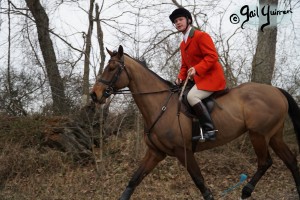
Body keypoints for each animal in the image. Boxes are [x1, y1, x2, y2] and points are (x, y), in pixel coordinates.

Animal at [89, 45, 300, 200]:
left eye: (112, 68)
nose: (94, 94)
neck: (161, 105)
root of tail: (277, 90)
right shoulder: (155, 152)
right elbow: (133, 181)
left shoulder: (184, 152)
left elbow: (200, 182)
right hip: (274, 135)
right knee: (290, 160)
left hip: (258, 135)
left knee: (265, 162)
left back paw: (246, 190)